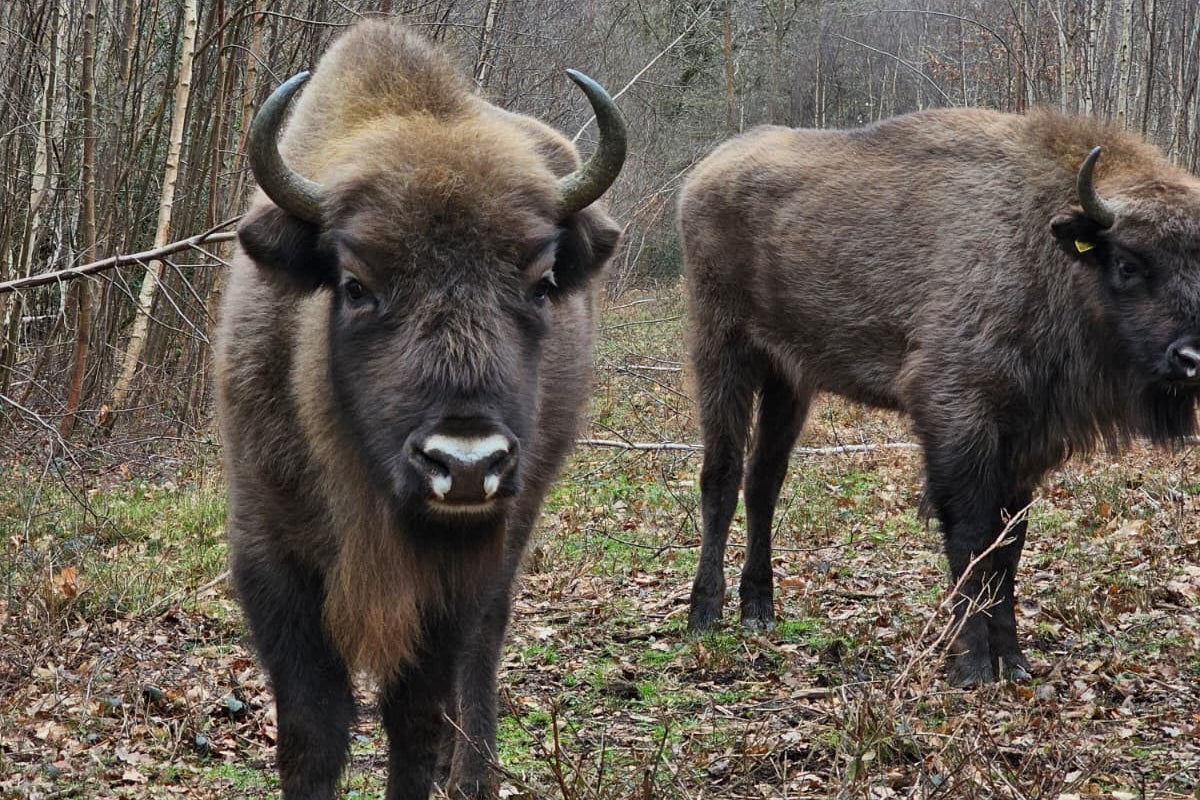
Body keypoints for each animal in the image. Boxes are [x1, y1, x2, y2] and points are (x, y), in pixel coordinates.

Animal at [214, 21, 624, 799]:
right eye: (355, 284)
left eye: (542, 282)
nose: (464, 465)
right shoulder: (270, 557)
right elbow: (313, 732)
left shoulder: (449, 580)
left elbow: (414, 717)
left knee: (484, 646)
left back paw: (470, 775)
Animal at [679, 107, 1200, 687]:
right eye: (1128, 264)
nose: (1192, 357)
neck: (1041, 243)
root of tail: (704, 174)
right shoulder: (956, 416)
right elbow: (970, 539)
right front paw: (972, 667)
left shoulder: (1024, 441)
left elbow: (1007, 548)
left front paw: (1014, 663)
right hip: (723, 350)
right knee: (721, 476)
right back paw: (705, 614)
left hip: (788, 380)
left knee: (763, 482)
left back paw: (758, 610)